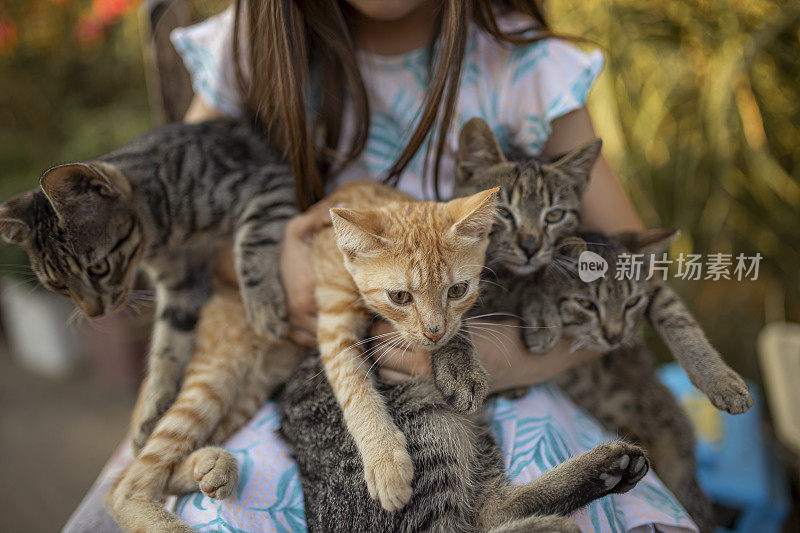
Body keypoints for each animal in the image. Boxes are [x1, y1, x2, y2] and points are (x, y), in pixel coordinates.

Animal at [0, 117, 296, 448]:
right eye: (58, 286)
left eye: (98, 268)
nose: (93, 313)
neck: (164, 237)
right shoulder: (180, 286)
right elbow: (166, 346)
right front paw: (155, 406)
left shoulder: (268, 183)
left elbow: (251, 243)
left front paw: (262, 305)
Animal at [312, 180, 500, 512]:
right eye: (400, 296)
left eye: (458, 290)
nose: (434, 332)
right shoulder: (335, 317)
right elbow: (351, 382)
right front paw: (384, 457)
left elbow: (457, 328)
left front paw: (460, 369)